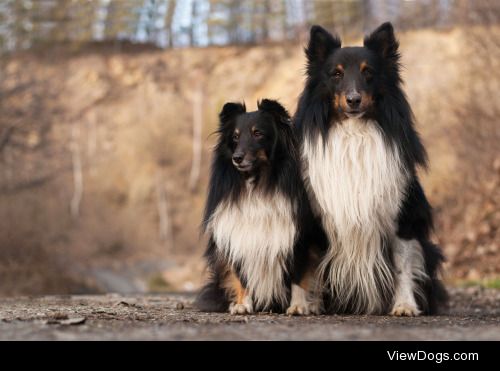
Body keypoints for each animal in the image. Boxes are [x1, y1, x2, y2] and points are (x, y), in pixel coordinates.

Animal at [195, 100, 324, 316]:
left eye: (258, 133)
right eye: (235, 137)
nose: (237, 158)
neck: (256, 182)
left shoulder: (300, 236)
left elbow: (299, 273)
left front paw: (299, 306)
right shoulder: (237, 236)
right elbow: (240, 274)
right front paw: (242, 304)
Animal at [294, 21, 448, 316]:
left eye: (368, 73)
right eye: (336, 74)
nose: (353, 100)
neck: (355, 133)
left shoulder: (402, 217)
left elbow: (402, 266)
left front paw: (404, 306)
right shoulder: (315, 214)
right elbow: (309, 264)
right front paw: (303, 304)